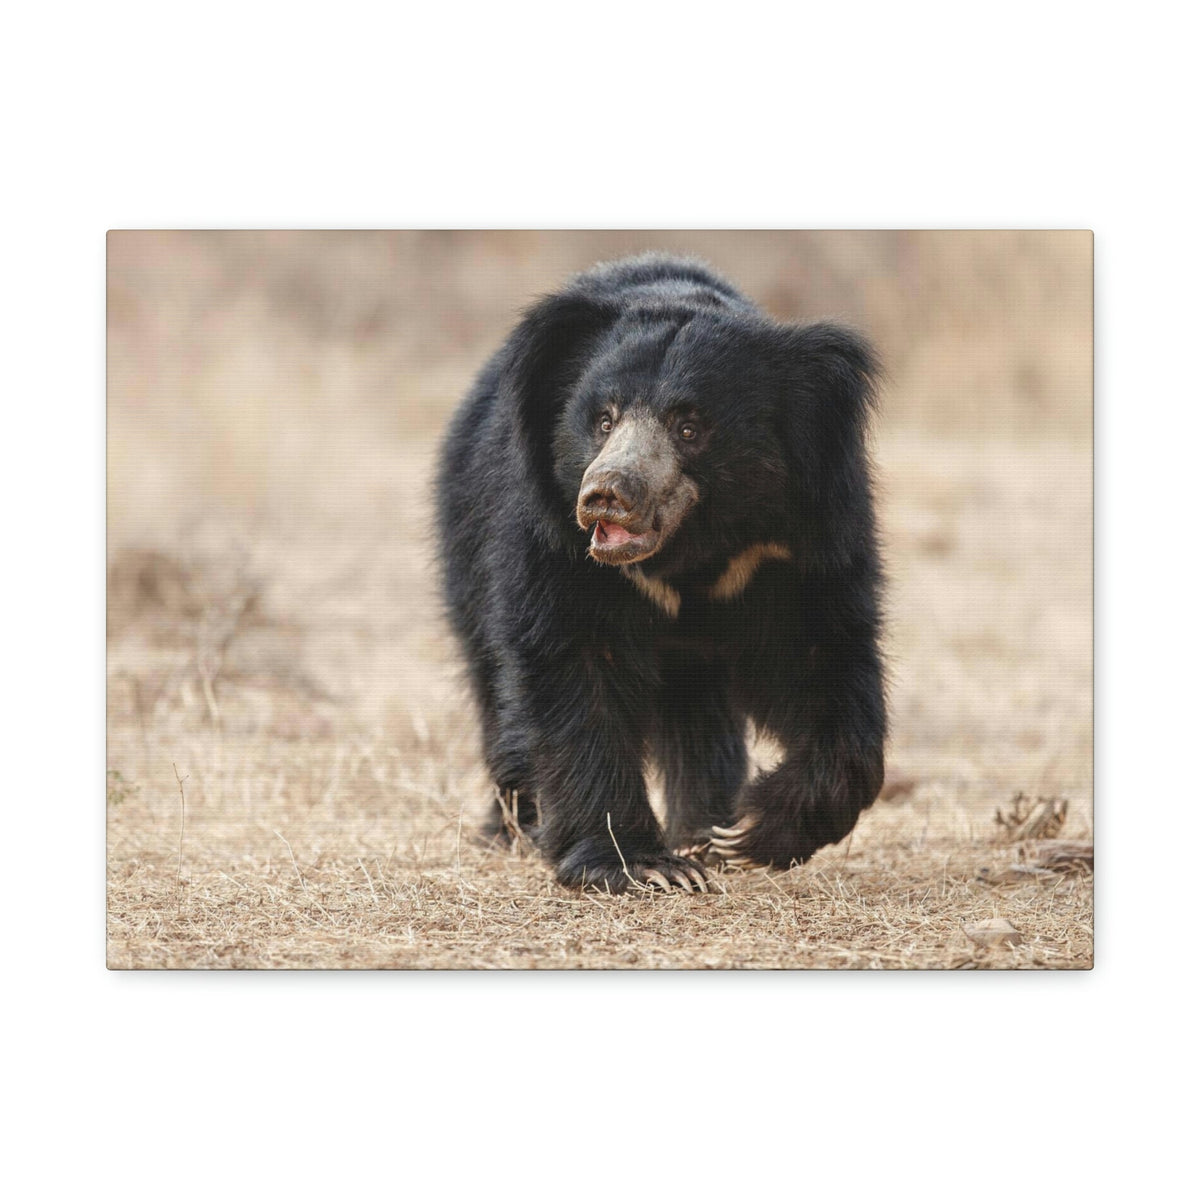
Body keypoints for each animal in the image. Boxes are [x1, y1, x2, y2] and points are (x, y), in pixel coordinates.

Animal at [435, 254, 886, 893]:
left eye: (689, 427)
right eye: (603, 420)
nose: (606, 495)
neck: (688, 552)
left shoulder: (798, 543)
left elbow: (823, 658)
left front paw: (746, 831)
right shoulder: (552, 542)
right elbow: (571, 669)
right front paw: (643, 865)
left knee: (700, 717)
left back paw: (703, 828)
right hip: (465, 547)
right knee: (493, 686)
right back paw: (514, 827)